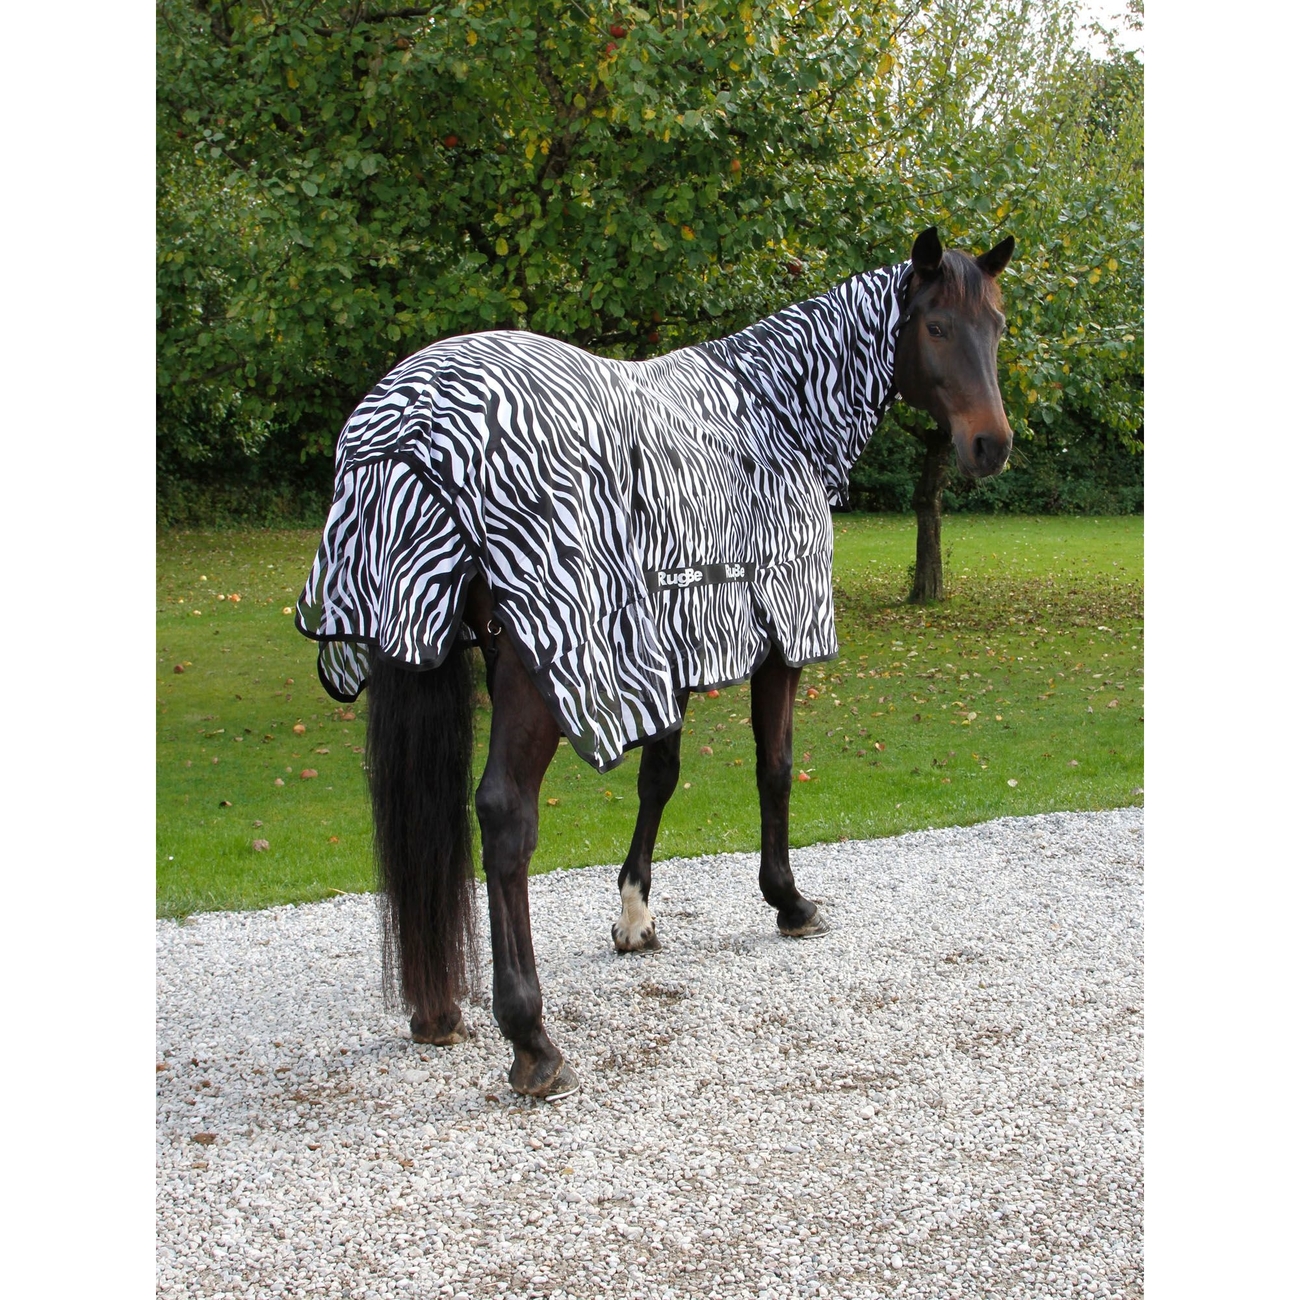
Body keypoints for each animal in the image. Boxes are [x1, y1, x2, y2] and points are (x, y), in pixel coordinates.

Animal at [297, 226, 1015, 1099]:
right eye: (937, 327)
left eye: (998, 325)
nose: (991, 445)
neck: (772, 413)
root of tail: (412, 420)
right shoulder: (777, 637)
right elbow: (775, 768)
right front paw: (788, 901)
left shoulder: (668, 646)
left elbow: (659, 774)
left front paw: (635, 915)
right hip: (539, 663)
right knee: (504, 816)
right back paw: (531, 1038)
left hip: (418, 636)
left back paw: (437, 1011)